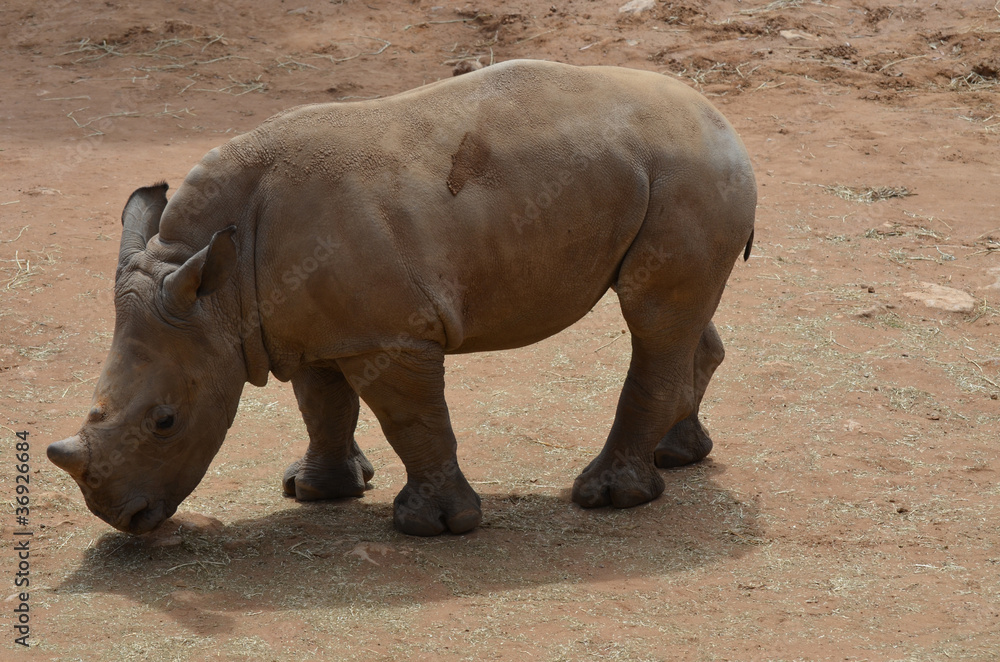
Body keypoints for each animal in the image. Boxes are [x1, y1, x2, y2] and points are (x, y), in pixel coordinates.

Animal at [48, 59, 756, 536]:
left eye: (165, 421)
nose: (120, 518)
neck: (218, 296)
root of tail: (724, 124)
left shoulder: (388, 335)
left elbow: (411, 421)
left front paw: (433, 527)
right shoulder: (307, 327)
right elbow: (322, 405)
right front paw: (316, 492)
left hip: (685, 174)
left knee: (652, 317)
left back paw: (606, 498)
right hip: (671, 177)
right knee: (679, 318)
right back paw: (678, 456)